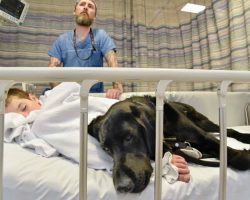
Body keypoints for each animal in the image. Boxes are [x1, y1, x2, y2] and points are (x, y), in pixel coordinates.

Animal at [88, 96, 250, 193]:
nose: (122, 187)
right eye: (106, 149)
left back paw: (245, 137)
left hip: (204, 123)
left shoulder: (202, 136)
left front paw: (241, 156)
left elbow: (224, 148)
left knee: (227, 130)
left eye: (128, 137)